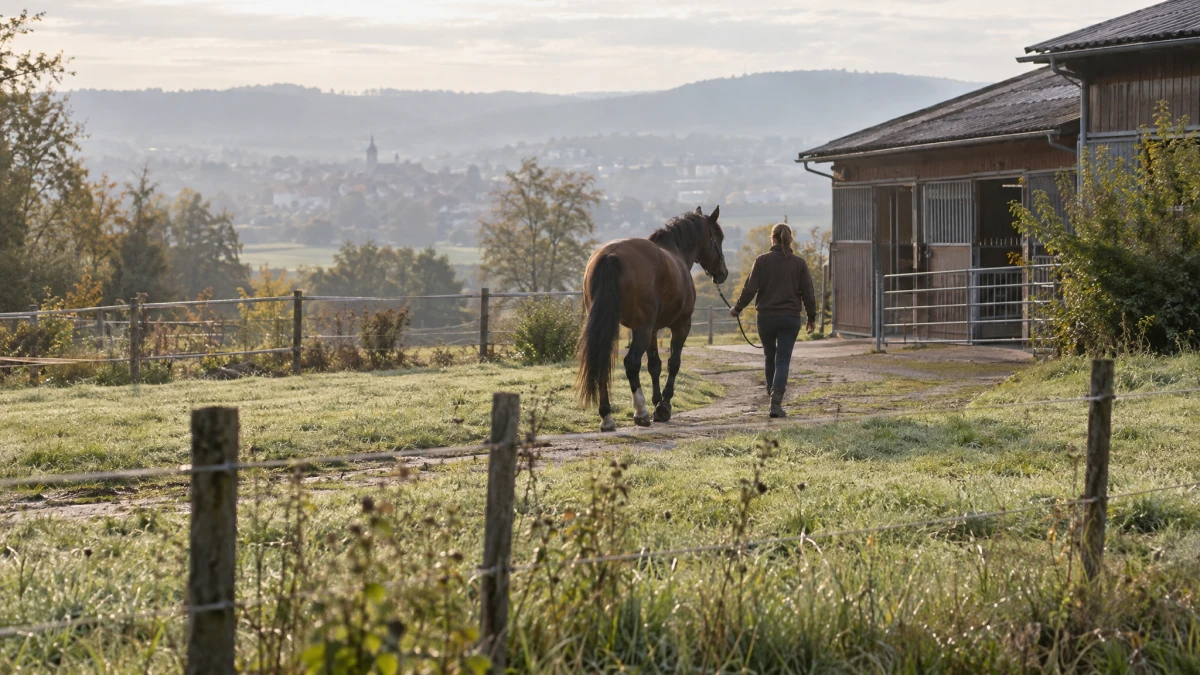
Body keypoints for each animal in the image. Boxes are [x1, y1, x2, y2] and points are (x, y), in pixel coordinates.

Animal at [577, 206, 729, 432]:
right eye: (718, 237)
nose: (723, 273)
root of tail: (612, 254)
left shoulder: (654, 330)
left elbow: (654, 365)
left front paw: (657, 402)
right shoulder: (680, 325)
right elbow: (673, 363)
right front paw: (663, 405)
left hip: (613, 327)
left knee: (602, 361)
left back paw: (607, 417)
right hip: (643, 329)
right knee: (631, 362)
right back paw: (640, 412)